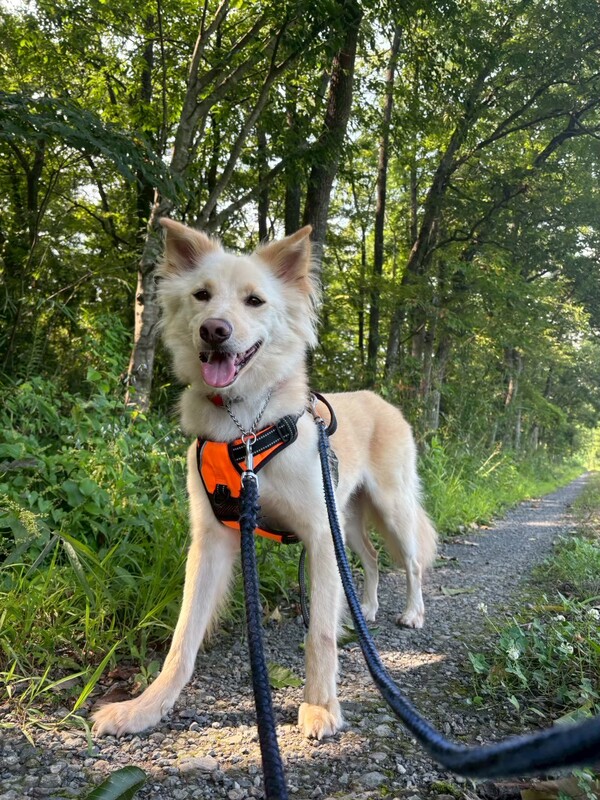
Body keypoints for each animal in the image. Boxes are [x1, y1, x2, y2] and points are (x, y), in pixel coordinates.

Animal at [92, 221, 437, 740]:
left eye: (254, 300)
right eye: (201, 295)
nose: (214, 330)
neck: (245, 427)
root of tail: (383, 401)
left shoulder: (320, 534)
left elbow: (318, 633)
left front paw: (320, 707)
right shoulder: (213, 539)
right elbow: (183, 637)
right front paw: (145, 707)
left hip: (389, 508)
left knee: (412, 563)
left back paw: (413, 613)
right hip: (350, 518)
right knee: (373, 560)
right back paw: (368, 609)